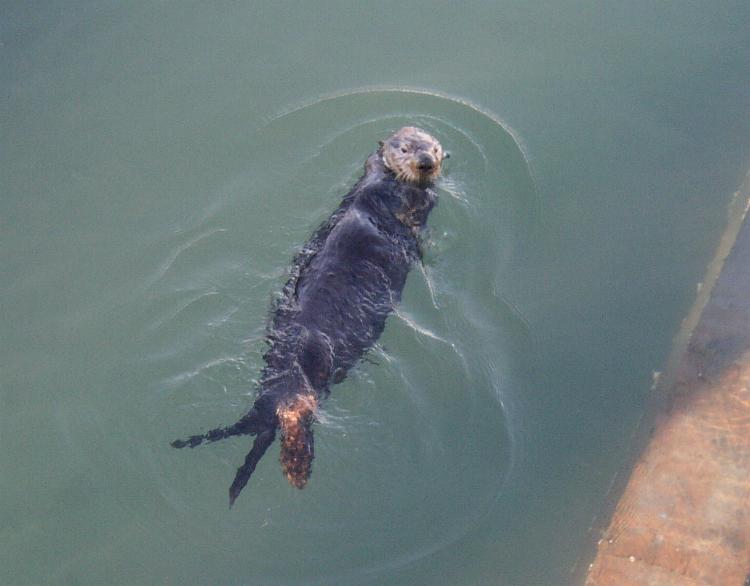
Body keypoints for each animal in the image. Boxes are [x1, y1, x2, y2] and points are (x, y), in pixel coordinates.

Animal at [173, 125, 450, 504]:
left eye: (434, 149)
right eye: (406, 148)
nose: (425, 162)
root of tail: (268, 404)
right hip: (308, 363)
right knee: (296, 411)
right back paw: (297, 469)